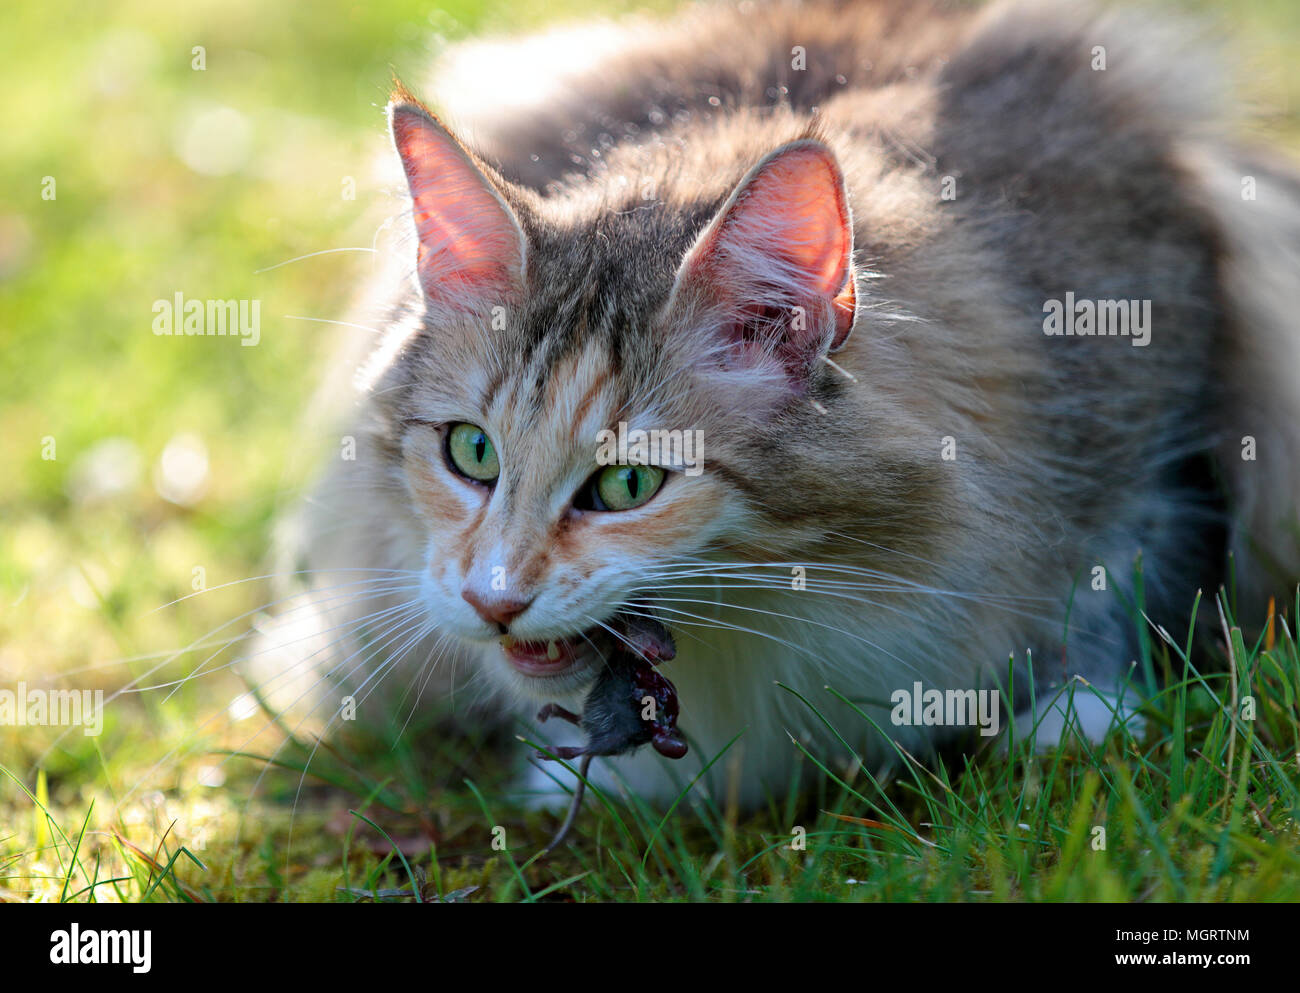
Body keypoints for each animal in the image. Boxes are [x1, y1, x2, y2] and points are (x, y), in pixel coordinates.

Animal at [250, 0, 1300, 805]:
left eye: (629, 485)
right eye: (471, 453)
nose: (491, 599)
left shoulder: (1152, 399)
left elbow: (1119, 581)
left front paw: (1074, 716)